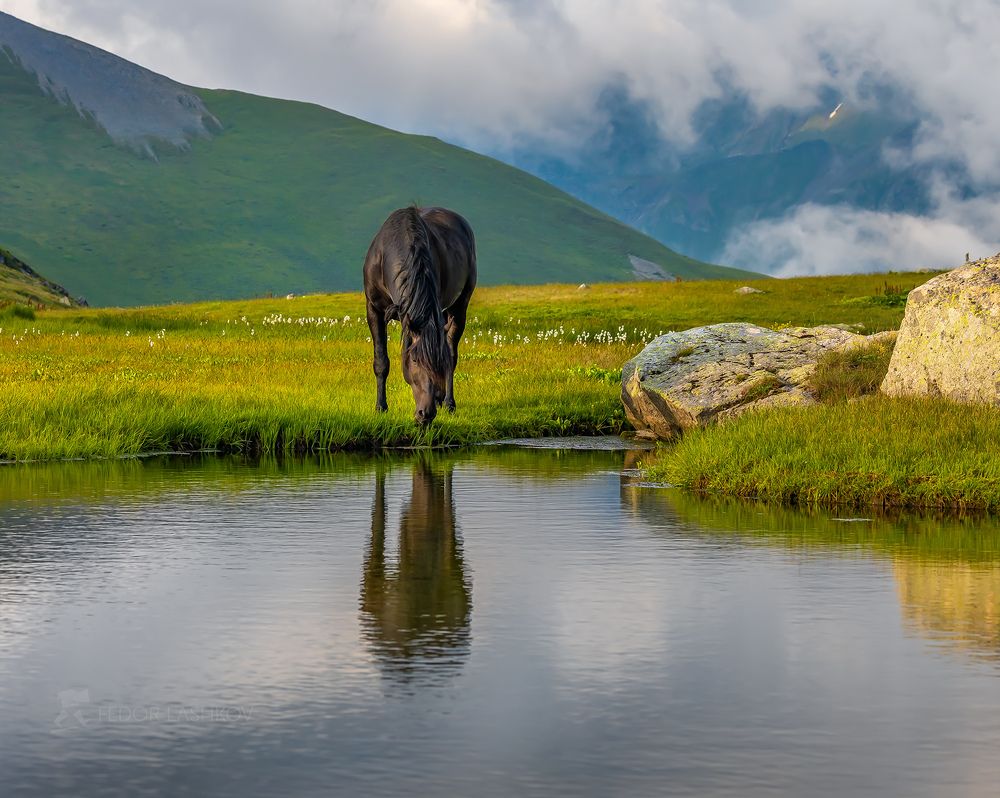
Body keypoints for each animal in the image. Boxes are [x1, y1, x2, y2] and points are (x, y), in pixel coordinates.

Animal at [363, 207, 477, 425]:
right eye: (414, 360)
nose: (426, 415)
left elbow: (447, 357)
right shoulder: (374, 309)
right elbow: (381, 361)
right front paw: (380, 407)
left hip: (460, 306)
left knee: (452, 352)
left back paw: (448, 402)